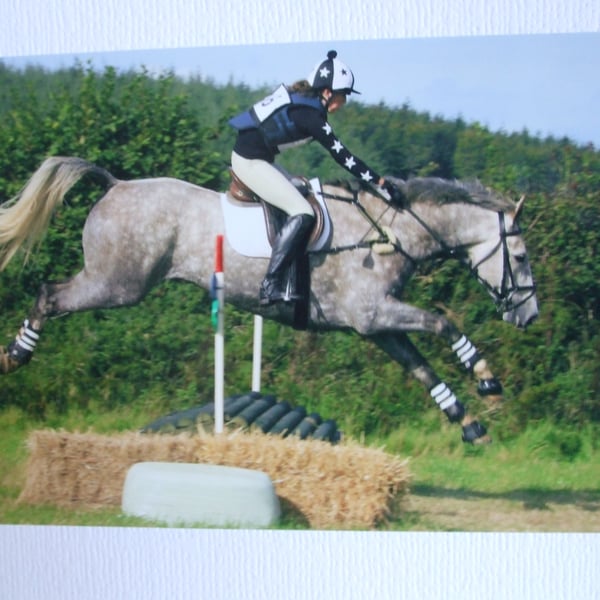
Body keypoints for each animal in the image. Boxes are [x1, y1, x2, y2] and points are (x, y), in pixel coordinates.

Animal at [0, 157, 540, 442]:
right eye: (520, 255)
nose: (529, 316)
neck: (390, 234)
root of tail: (116, 184)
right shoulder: (374, 315)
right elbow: (445, 324)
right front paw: (488, 381)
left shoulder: (378, 326)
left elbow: (423, 368)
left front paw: (468, 422)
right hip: (118, 284)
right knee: (49, 295)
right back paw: (14, 356)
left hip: (117, 282)